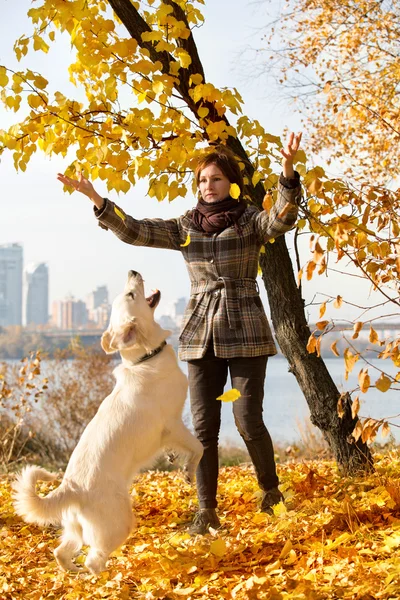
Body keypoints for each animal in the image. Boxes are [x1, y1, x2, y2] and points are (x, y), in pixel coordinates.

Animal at [13, 270, 203, 576]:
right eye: (131, 294)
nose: (132, 271)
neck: (144, 359)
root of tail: (70, 488)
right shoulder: (173, 424)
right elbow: (198, 447)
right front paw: (188, 471)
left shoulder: (169, 433)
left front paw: (176, 459)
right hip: (119, 523)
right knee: (94, 559)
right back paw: (108, 579)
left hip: (75, 529)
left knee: (61, 553)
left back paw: (76, 574)